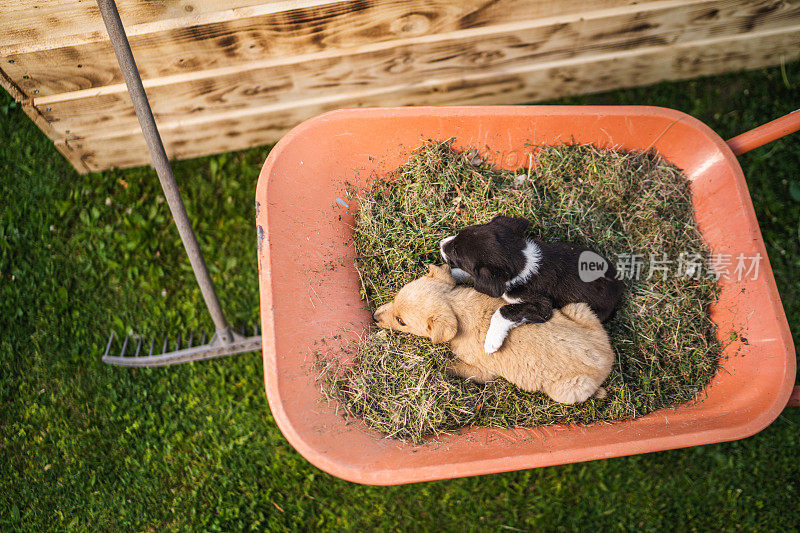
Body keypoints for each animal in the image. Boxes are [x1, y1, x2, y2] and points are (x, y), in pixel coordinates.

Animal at [374, 264, 612, 406]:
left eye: (401, 321)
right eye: (395, 298)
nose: (375, 317)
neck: (457, 307)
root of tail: (608, 359)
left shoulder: (483, 371)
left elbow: (454, 367)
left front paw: (437, 367)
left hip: (567, 390)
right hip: (578, 308)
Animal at [440, 212, 620, 354]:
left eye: (456, 253)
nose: (441, 243)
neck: (523, 259)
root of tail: (619, 287)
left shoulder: (543, 307)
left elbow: (504, 310)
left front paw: (492, 341)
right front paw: (449, 273)